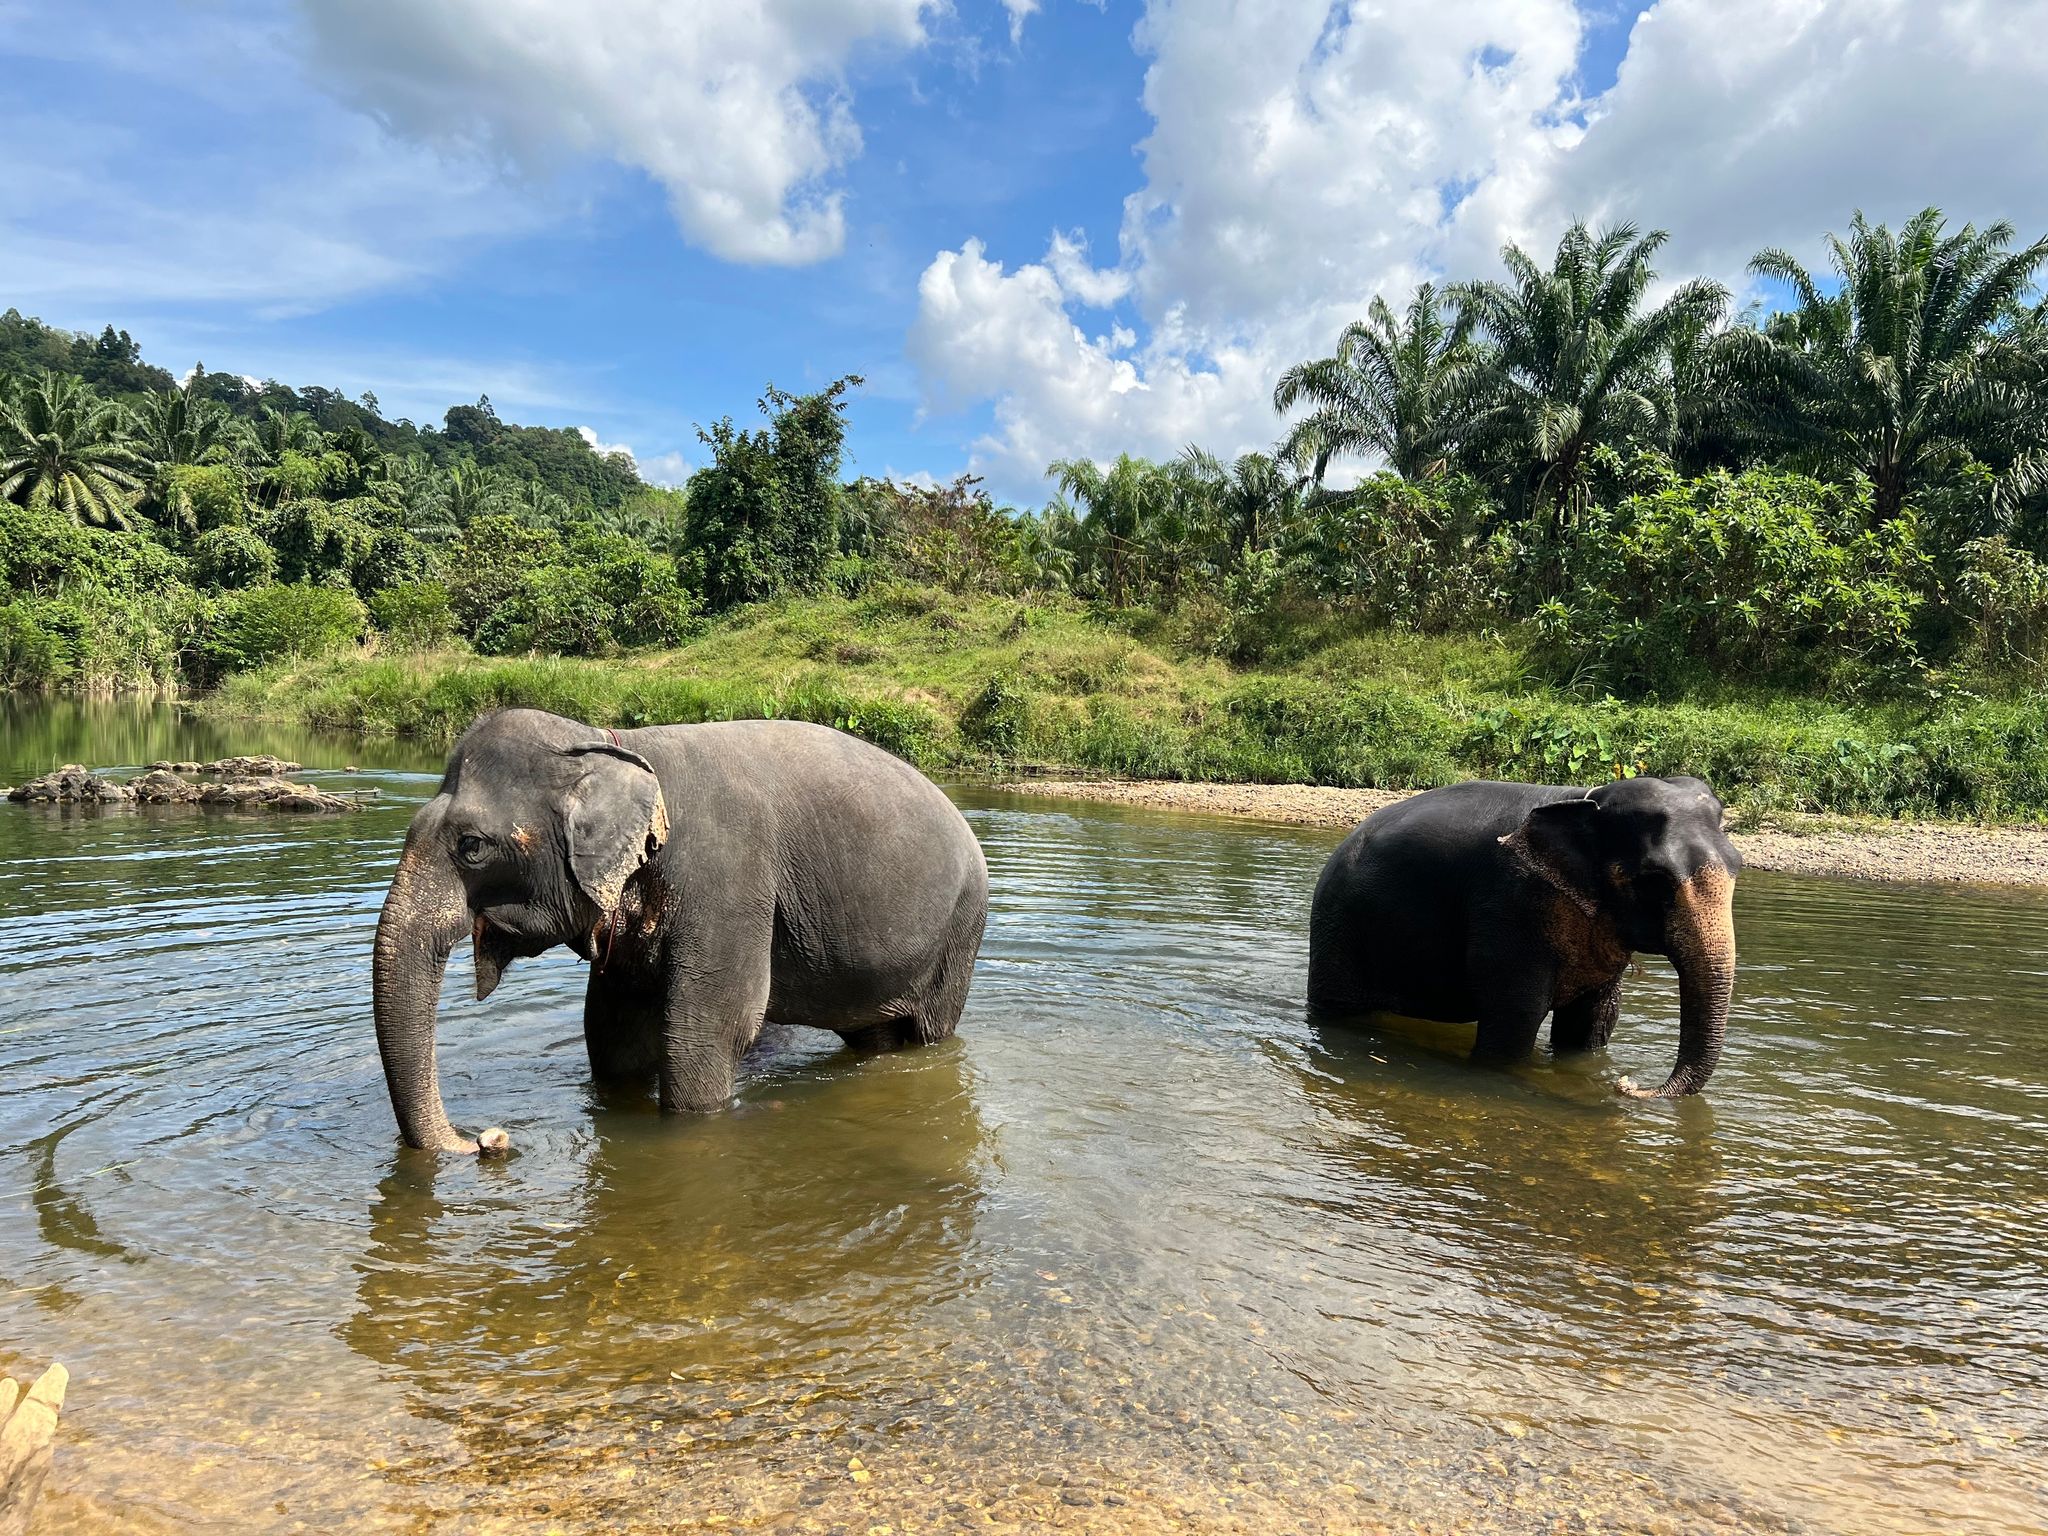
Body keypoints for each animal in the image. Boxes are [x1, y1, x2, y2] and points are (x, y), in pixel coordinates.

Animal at [370, 708, 991, 1155]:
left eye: (472, 846)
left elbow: (708, 1031)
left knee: (928, 1033)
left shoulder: (728, 885)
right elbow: (612, 1032)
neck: (612, 746)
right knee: (874, 1038)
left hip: (960, 932)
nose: (485, 1141)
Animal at [1302, 782, 1736, 1097]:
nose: (1626, 1085)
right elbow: (1516, 1017)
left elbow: (1593, 1021)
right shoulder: (1511, 904)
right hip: (1339, 928)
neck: (1586, 797)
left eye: (1739, 866)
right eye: (1654, 881)